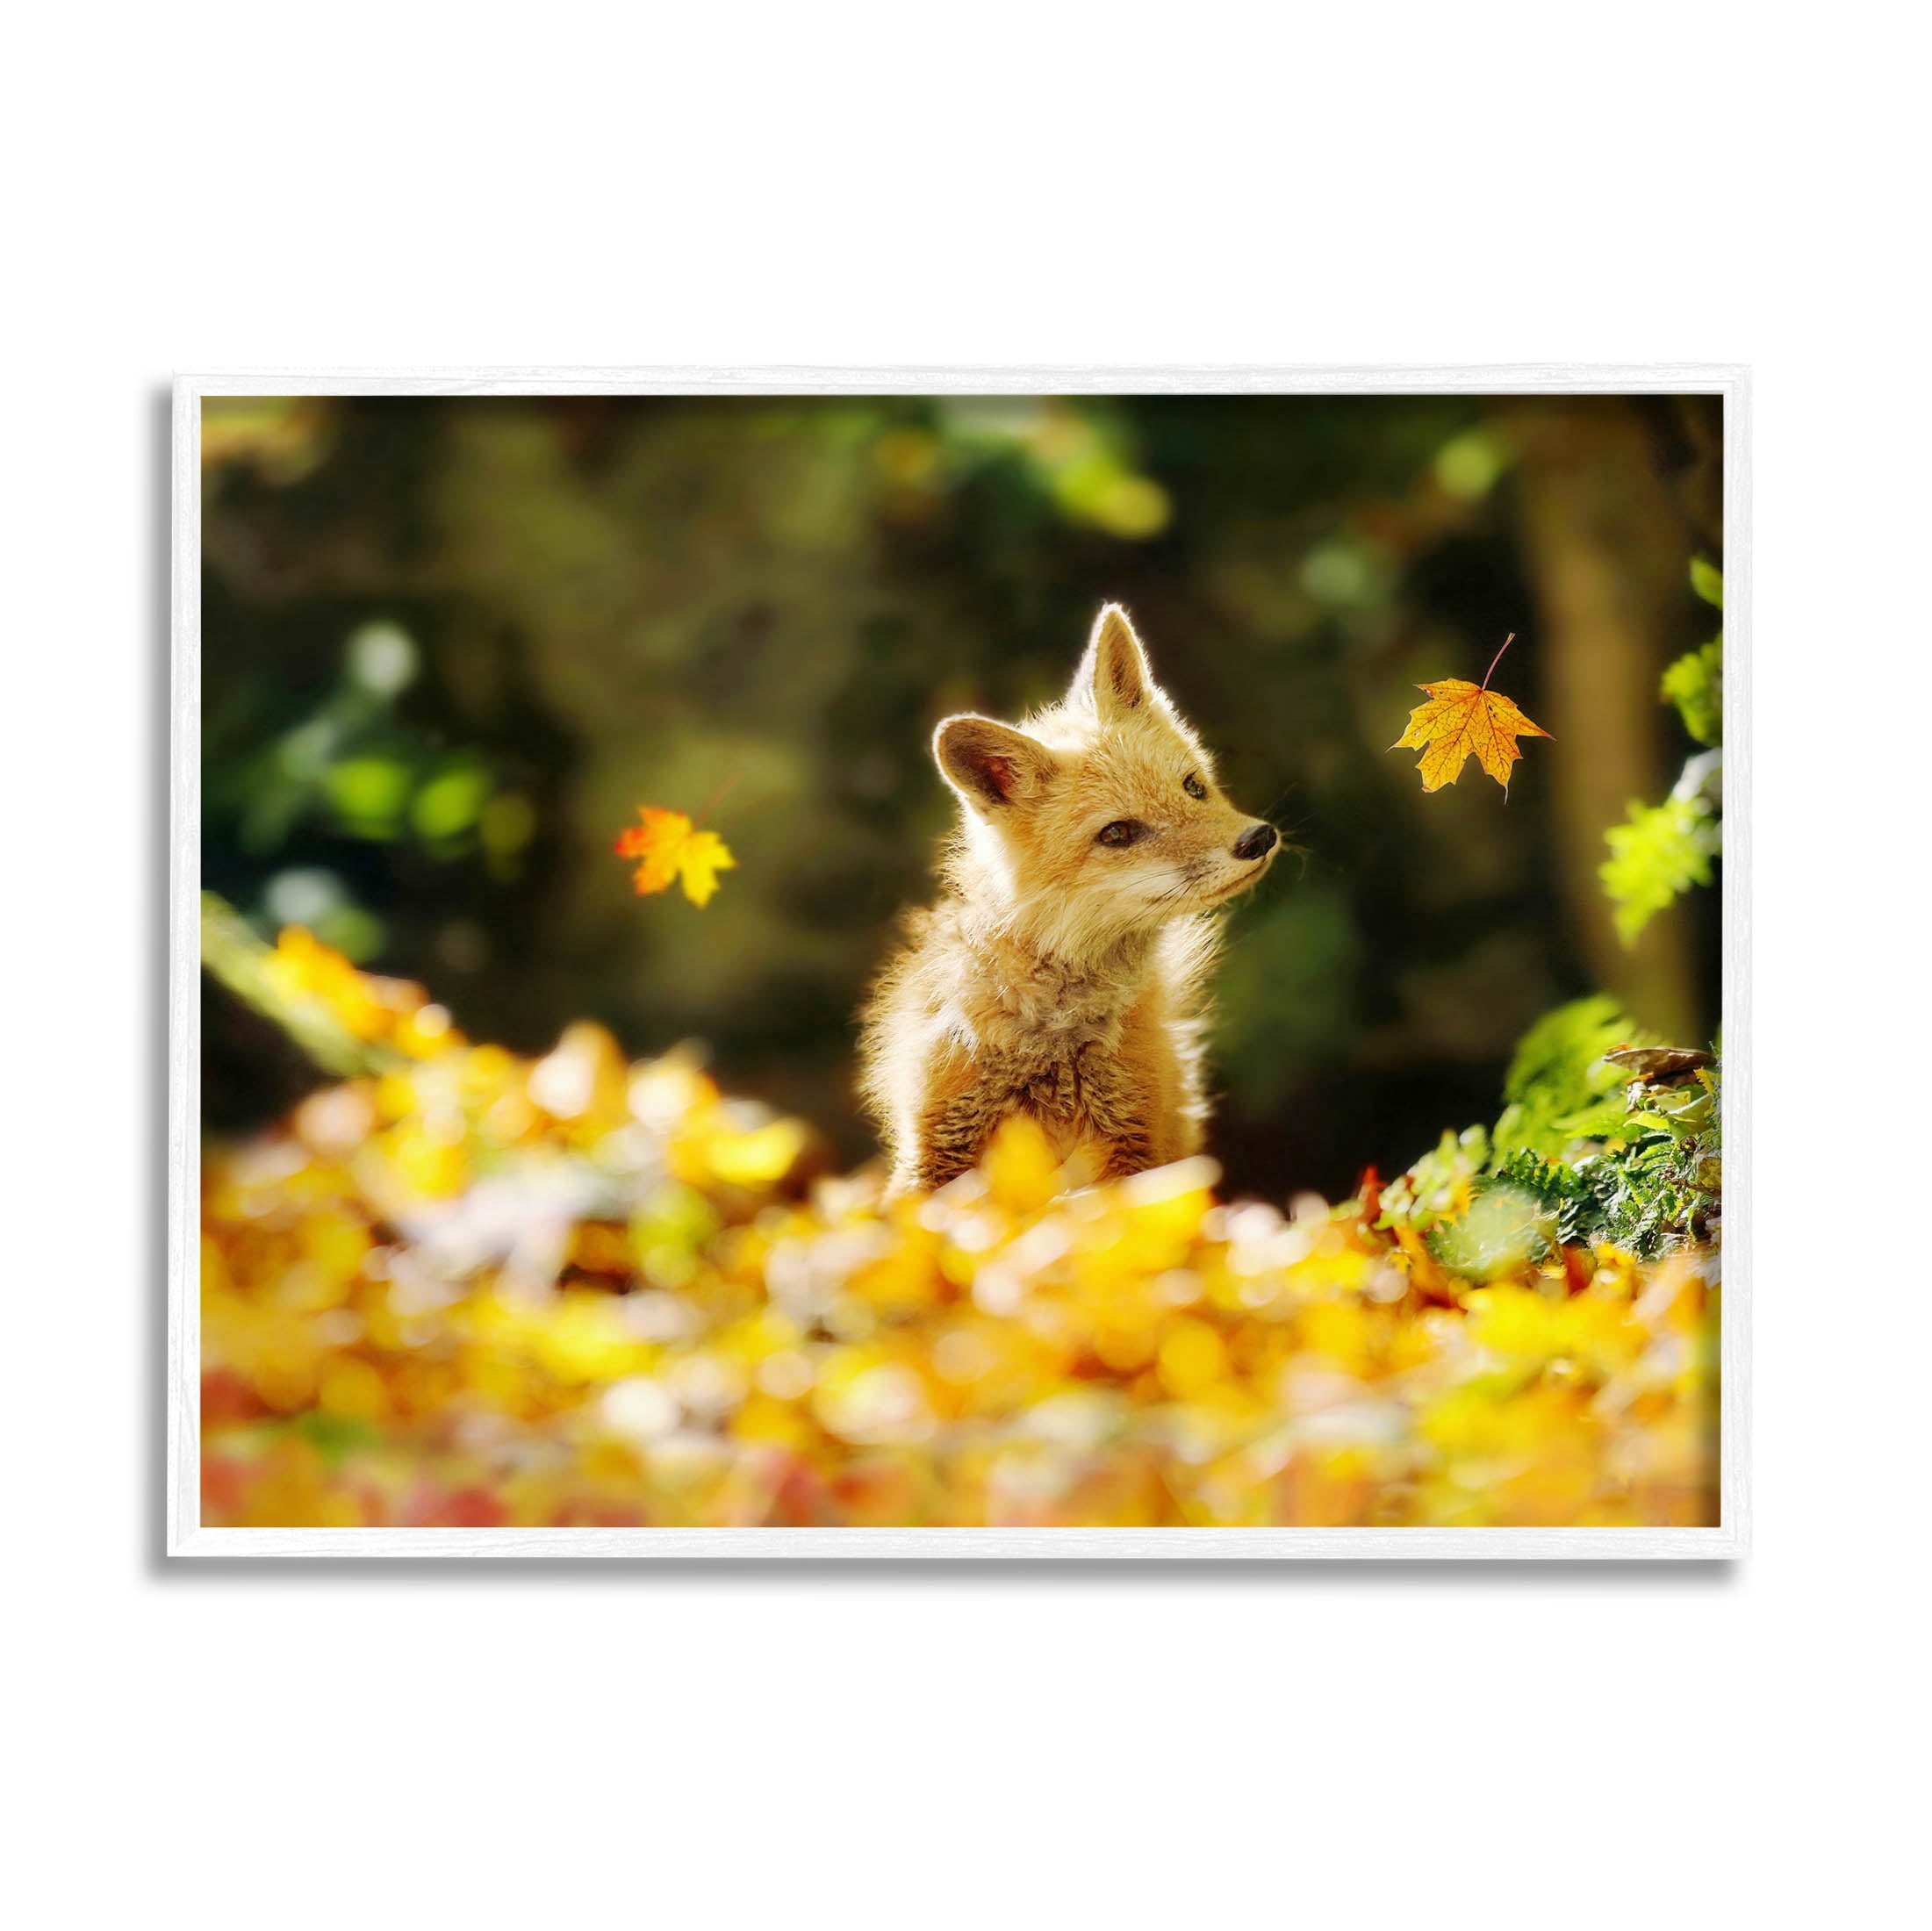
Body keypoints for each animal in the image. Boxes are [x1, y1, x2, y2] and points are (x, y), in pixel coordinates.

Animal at [859, 602, 1279, 1197]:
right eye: (1117, 833)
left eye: (1193, 787)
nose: (1258, 840)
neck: (1052, 1041)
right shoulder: (936, 1142)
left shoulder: (1133, 1142)